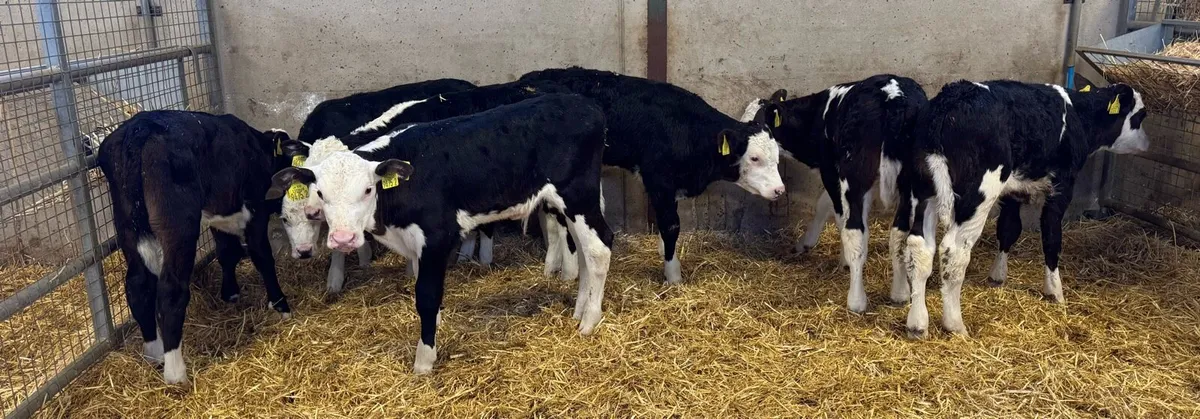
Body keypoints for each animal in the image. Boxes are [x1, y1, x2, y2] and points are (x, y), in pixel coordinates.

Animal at [98, 110, 294, 384]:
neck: (257, 148)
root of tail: (140, 128)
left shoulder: (221, 215)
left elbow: (226, 253)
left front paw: (230, 293)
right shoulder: (256, 210)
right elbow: (262, 256)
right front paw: (280, 305)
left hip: (127, 223)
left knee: (138, 285)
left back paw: (154, 353)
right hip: (179, 223)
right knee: (170, 290)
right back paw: (176, 374)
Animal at [266, 94, 611, 374]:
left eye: (367, 190)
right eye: (320, 192)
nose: (342, 239)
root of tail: (584, 104)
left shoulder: (436, 237)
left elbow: (427, 296)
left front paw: (424, 360)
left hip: (577, 194)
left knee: (599, 248)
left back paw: (589, 321)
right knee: (584, 250)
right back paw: (579, 310)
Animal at [518, 67, 786, 285]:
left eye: (777, 154)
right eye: (754, 158)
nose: (779, 190)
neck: (689, 129)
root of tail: (531, 78)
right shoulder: (659, 181)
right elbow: (670, 224)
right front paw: (673, 275)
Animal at [741, 75, 928, 313]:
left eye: (755, 124)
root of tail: (894, 97)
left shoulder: (831, 169)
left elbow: (836, 213)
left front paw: (843, 260)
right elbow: (828, 205)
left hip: (855, 172)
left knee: (855, 230)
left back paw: (856, 301)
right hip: (909, 182)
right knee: (899, 232)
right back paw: (900, 292)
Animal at [896, 81, 1148, 338]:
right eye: (1140, 115)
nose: (1148, 144)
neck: (1078, 113)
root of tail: (949, 100)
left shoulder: (1012, 193)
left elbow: (1009, 229)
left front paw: (998, 276)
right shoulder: (1062, 186)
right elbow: (1051, 238)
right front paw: (1054, 291)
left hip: (923, 190)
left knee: (919, 247)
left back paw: (917, 324)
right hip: (977, 196)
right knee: (953, 251)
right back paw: (954, 324)